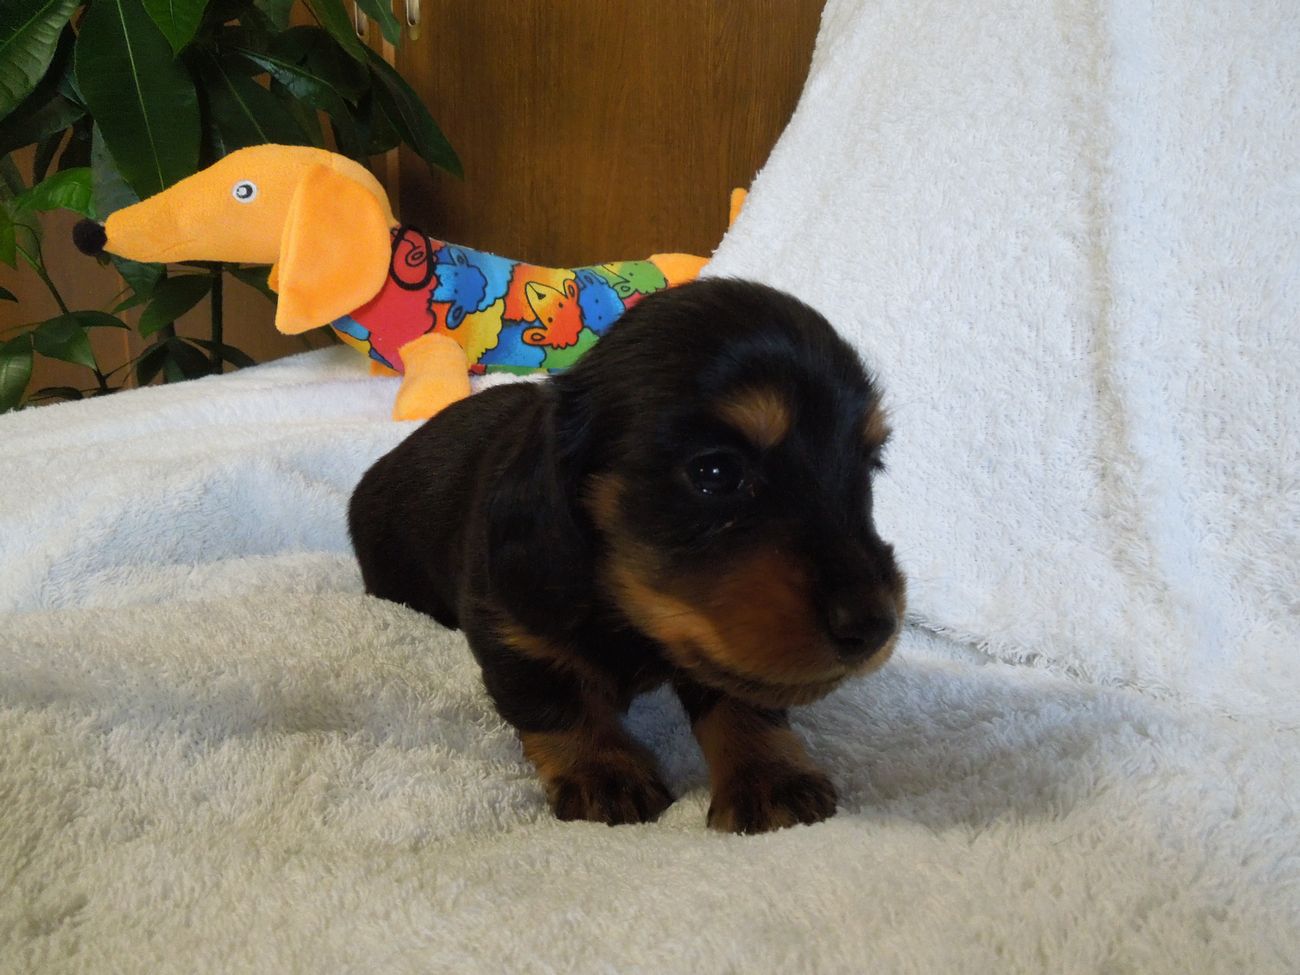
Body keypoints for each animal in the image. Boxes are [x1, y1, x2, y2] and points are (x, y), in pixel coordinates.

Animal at [349, 278, 906, 833]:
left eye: (869, 463)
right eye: (716, 471)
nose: (875, 627)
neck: (629, 614)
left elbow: (742, 699)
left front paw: (770, 776)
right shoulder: (509, 629)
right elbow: (558, 699)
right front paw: (604, 772)